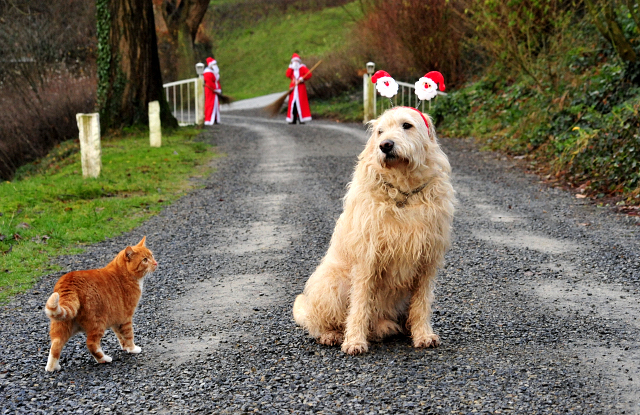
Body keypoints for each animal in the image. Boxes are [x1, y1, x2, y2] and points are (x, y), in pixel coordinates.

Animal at [44, 237, 158, 374]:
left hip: (63, 325)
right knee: (91, 343)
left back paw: (51, 367)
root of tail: (69, 280)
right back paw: (104, 359)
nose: (156, 263)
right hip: (97, 323)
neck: (124, 273)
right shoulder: (126, 317)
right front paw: (132, 348)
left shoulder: (116, 318)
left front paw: (125, 347)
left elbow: (120, 336)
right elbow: (129, 335)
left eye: (151, 256)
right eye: (145, 260)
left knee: (56, 344)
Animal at [292, 106, 452, 354]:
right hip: (332, 285)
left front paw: (423, 334)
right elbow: (359, 302)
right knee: (318, 322)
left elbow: (422, 302)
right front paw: (355, 341)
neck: (403, 192)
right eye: (380, 131)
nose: (385, 145)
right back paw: (332, 334)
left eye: (407, 125)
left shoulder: (427, 260)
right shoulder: (367, 259)